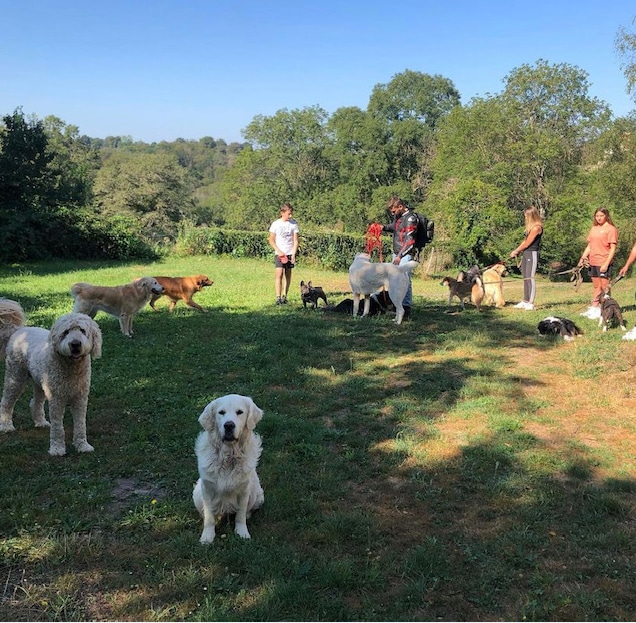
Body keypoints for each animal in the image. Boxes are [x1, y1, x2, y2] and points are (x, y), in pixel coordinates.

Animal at [0, 314, 101, 456]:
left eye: (82, 330)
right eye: (66, 332)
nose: (75, 344)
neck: (71, 367)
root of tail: (19, 330)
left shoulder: (80, 398)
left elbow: (80, 424)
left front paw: (82, 445)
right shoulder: (56, 400)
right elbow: (58, 427)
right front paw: (57, 448)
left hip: (41, 382)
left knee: (35, 402)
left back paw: (40, 422)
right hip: (15, 377)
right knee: (6, 402)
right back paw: (6, 426)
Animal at [193, 394, 264, 544]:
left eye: (240, 412)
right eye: (221, 412)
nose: (229, 425)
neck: (228, 456)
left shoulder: (244, 490)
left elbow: (240, 515)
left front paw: (242, 533)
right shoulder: (207, 489)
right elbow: (209, 516)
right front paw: (207, 537)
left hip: (256, 493)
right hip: (197, 493)